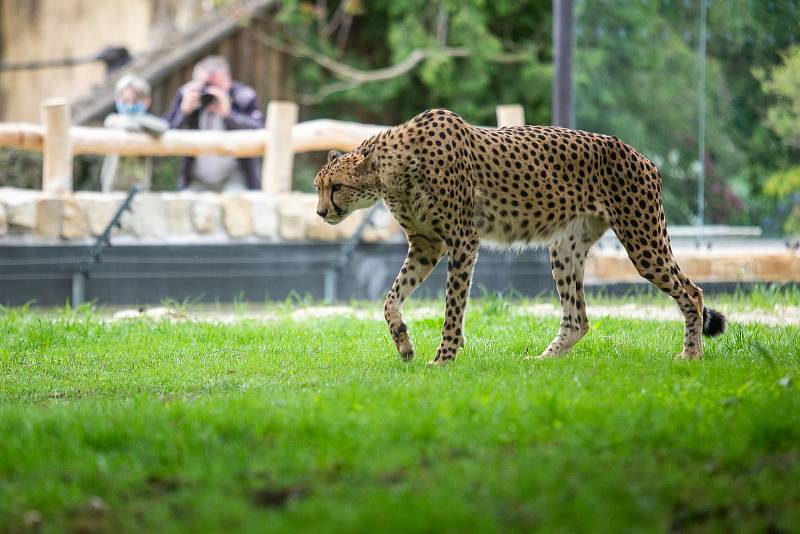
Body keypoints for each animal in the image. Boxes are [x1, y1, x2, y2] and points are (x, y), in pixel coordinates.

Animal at [312, 110, 724, 366]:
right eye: (318, 187)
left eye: (336, 187)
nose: (320, 212)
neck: (393, 168)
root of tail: (642, 155)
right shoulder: (426, 245)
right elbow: (391, 298)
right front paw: (403, 342)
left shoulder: (462, 240)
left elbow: (452, 307)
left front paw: (444, 357)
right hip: (564, 247)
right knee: (578, 319)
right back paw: (543, 361)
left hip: (643, 240)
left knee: (692, 292)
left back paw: (692, 355)